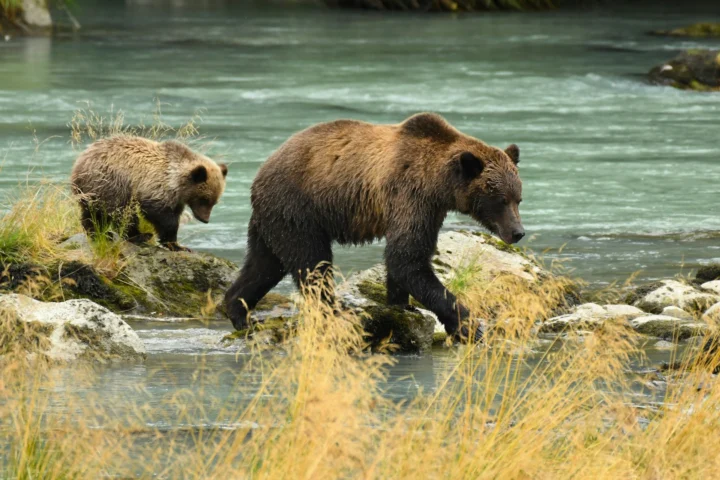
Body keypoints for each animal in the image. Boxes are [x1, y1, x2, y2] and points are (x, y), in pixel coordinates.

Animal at [70, 136, 228, 252]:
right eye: (204, 199)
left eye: (214, 201)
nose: (205, 219)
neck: (177, 183)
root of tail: (79, 163)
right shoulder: (155, 187)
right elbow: (161, 215)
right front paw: (175, 244)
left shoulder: (176, 199)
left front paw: (177, 245)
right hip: (111, 183)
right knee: (122, 212)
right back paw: (139, 235)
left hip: (94, 190)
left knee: (92, 213)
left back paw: (100, 233)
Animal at [224, 112, 524, 339]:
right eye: (500, 200)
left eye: (518, 198)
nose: (518, 232)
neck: (438, 183)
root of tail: (260, 173)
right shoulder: (410, 194)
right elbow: (407, 258)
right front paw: (468, 324)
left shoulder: (430, 209)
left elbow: (405, 259)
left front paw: (402, 304)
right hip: (299, 209)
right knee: (312, 264)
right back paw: (335, 311)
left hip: (273, 221)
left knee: (264, 265)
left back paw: (240, 313)